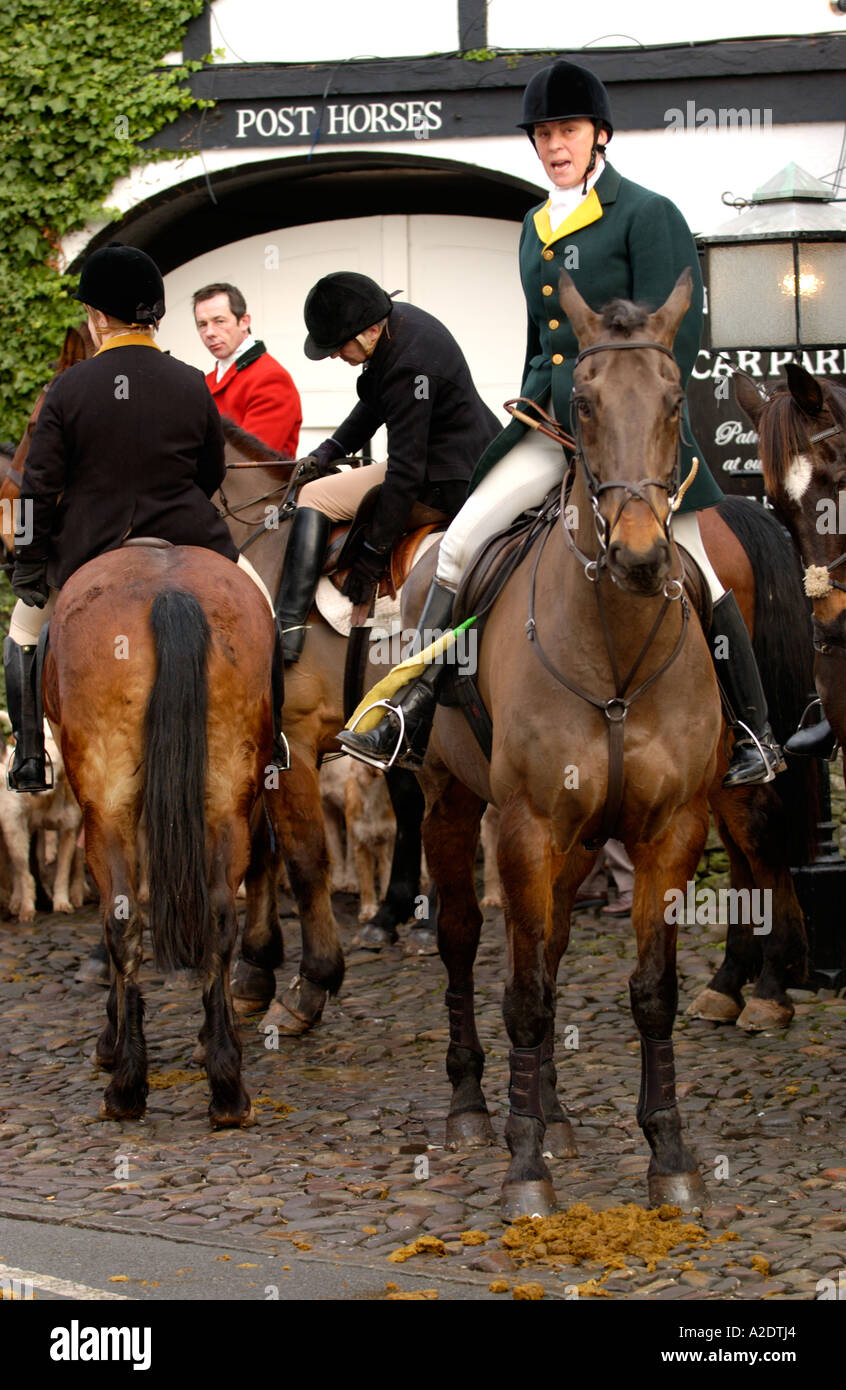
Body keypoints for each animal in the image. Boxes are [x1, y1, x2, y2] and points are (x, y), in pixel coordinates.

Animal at [42, 542, 273, 1128]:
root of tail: (169, 592)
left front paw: (111, 1040)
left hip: (107, 807)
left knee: (122, 924)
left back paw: (125, 1085)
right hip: (227, 797)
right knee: (219, 918)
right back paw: (228, 1087)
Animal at [402, 262, 800, 1217]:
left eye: (672, 400)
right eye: (580, 404)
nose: (641, 556)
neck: (615, 642)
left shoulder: (667, 831)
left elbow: (648, 992)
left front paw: (670, 1156)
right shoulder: (523, 826)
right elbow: (522, 997)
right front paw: (523, 1171)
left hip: (580, 844)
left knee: (546, 950)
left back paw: (549, 1114)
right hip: (451, 805)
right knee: (467, 939)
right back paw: (475, 1106)